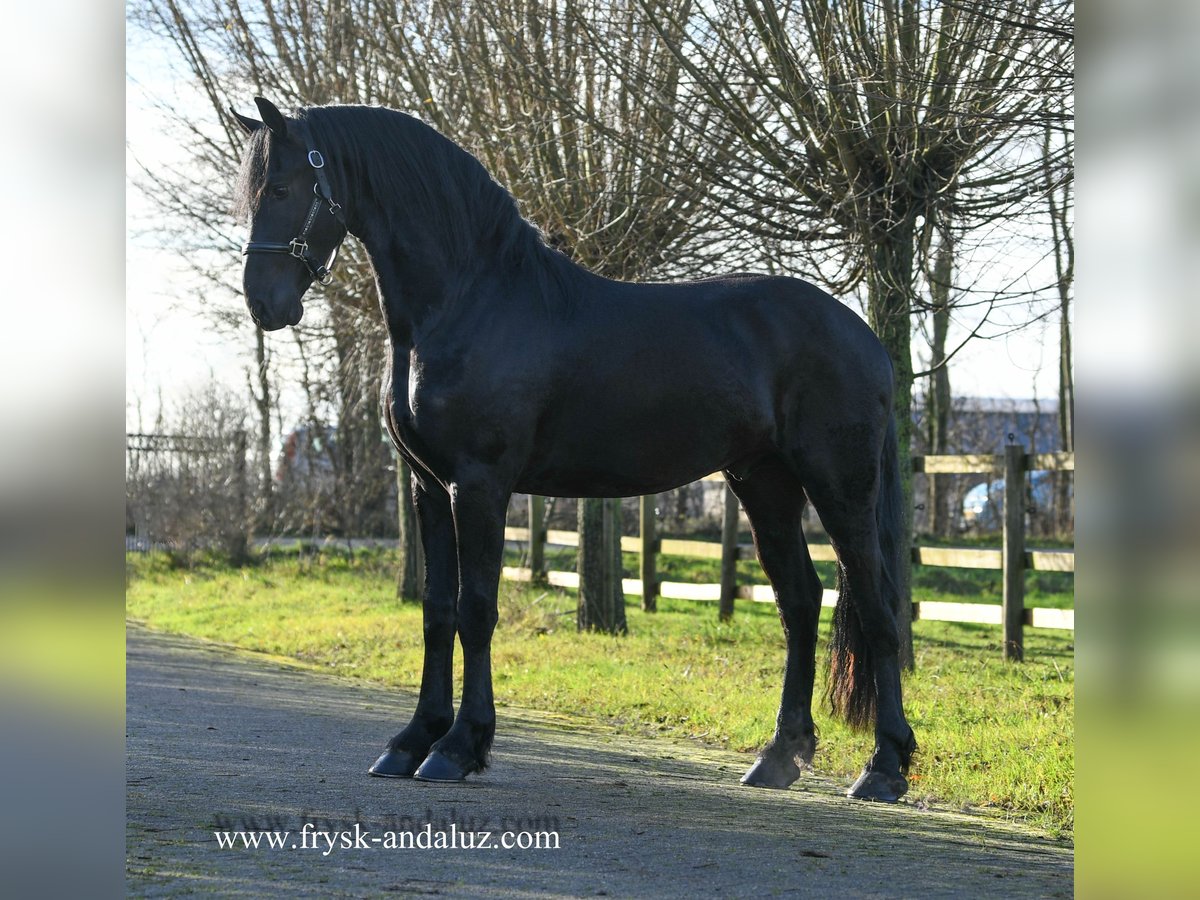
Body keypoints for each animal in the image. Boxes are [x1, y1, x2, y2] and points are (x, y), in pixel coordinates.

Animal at [229, 97, 912, 801]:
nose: (263, 303)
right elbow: (436, 612)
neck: (470, 301)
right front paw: (411, 740)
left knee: (878, 606)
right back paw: (779, 755)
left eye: (280, 188)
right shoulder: (428, 487)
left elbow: (476, 609)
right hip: (764, 482)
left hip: (840, 485)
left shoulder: (478, 485)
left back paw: (883, 768)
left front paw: (459, 746)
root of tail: (862, 335)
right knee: (799, 602)